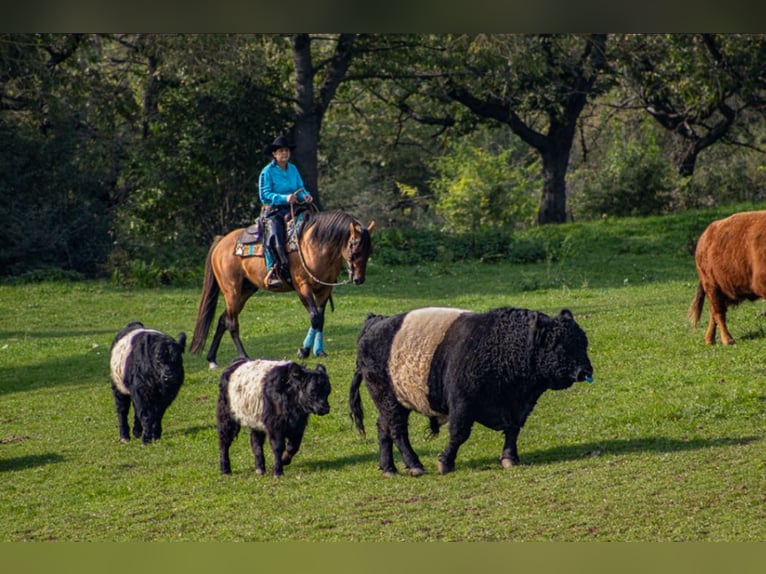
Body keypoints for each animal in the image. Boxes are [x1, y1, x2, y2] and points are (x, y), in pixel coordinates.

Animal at [190, 210, 375, 369]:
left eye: (369, 250)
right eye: (353, 245)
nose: (359, 279)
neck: (314, 245)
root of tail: (221, 242)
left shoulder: (324, 289)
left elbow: (321, 319)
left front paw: (319, 351)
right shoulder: (303, 287)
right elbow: (315, 317)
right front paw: (303, 351)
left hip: (245, 291)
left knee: (223, 319)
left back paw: (212, 359)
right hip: (232, 291)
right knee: (231, 322)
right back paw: (244, 356)